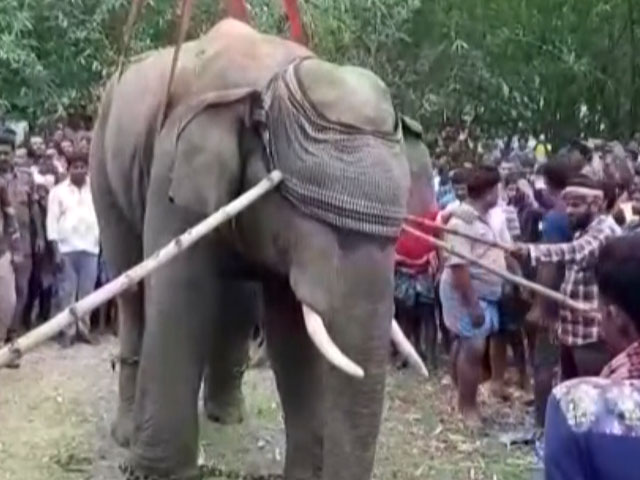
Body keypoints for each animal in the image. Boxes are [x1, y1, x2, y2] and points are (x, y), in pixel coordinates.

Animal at [91, 18, 429, 480]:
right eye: (316, 225)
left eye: (396, 236)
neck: (271, 83)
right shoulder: (173, 168)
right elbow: (180, 298)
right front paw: (156, 471)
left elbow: (293, 333)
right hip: (103, 161)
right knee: (133, 289)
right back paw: (127, 435)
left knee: (236, 299)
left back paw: (225, 415)